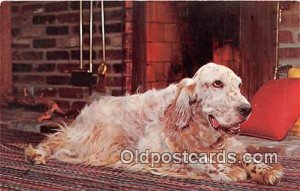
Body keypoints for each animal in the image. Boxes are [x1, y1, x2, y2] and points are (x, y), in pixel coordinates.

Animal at [24, 62, 282, 185]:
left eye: (239, 85)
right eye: (217, 83)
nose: (247, 109)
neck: (197, 131)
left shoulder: (230, 145)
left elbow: (246, 156)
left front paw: (266, 171)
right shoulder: (149, 151)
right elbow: (196, 160)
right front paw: (228, 171)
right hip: (89, 136)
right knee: (54, 140)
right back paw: (36, 154)